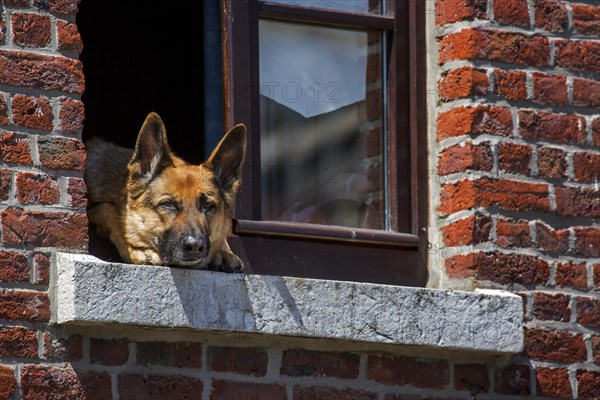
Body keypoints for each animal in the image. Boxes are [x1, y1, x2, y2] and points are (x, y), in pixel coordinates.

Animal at [84, 111, 246, 272]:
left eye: (208, 206)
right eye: (167, 204)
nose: (195, 246)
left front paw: (225, 253)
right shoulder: (96, 209)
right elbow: (113, 214)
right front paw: (138, 249)